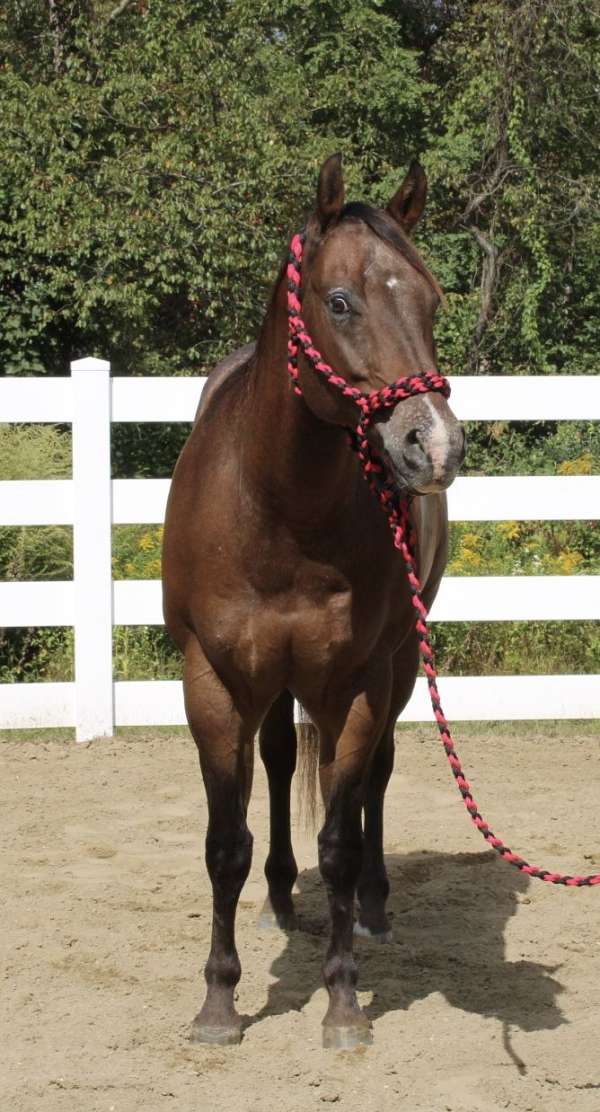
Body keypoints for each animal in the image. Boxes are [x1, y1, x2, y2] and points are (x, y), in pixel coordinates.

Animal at [162, 154, 465, 1049]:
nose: (435, 444)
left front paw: (342, 1001)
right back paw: (278, 898)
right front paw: (220, 1002)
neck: (280, 508)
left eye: (432, 299)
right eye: (340, 302)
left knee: (372, 783)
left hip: (393, 669)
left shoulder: (358, 683)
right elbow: (225, 844)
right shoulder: (214, 683)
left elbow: (340, 835)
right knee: (278, 762)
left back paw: (371, 908)